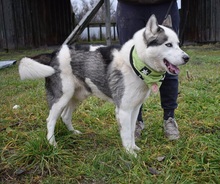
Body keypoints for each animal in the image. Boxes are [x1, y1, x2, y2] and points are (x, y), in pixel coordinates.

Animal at [18, 15, 189, 155]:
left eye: (178, 44)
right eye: (168, 44)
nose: (187, 58)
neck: (136, 63)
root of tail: (54, 53)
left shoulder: (134, 109)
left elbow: (132, 131)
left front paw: (134, 148)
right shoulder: (123, 110)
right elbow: (126, 134)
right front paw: (131, 155)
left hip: (77, 96)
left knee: (65, 116)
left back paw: (73, 133)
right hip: (61, 97)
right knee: (50, 120)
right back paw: (52, 144)